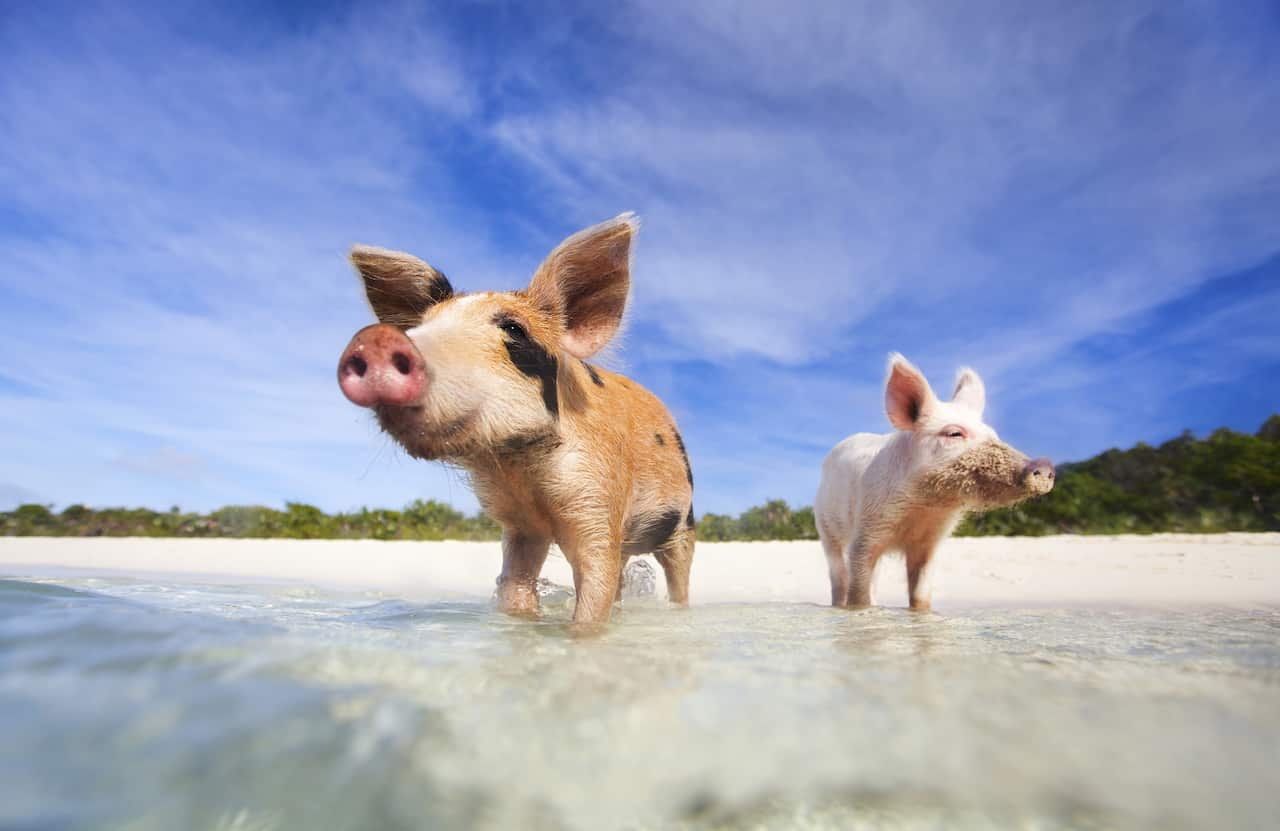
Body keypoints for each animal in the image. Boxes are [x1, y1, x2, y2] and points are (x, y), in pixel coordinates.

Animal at [336, 214, 695, 624]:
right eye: (419, 326)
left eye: (514, 329)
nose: (376, 339)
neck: (522, 470)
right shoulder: (520, 525)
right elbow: (516, 586)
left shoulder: (599, 498)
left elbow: (593, 593)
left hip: (684, 524)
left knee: (678, 576)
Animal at [815, 354, 1054, 611]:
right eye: (954, 433)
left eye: (994, 435)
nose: (1044, 466)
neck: (925, 506)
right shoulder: (866, 529)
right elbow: (858, 592)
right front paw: (859, 610)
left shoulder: (930, 542)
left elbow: (921, 593)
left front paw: (920, 613)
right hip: (825, 526)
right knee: (838, 574)